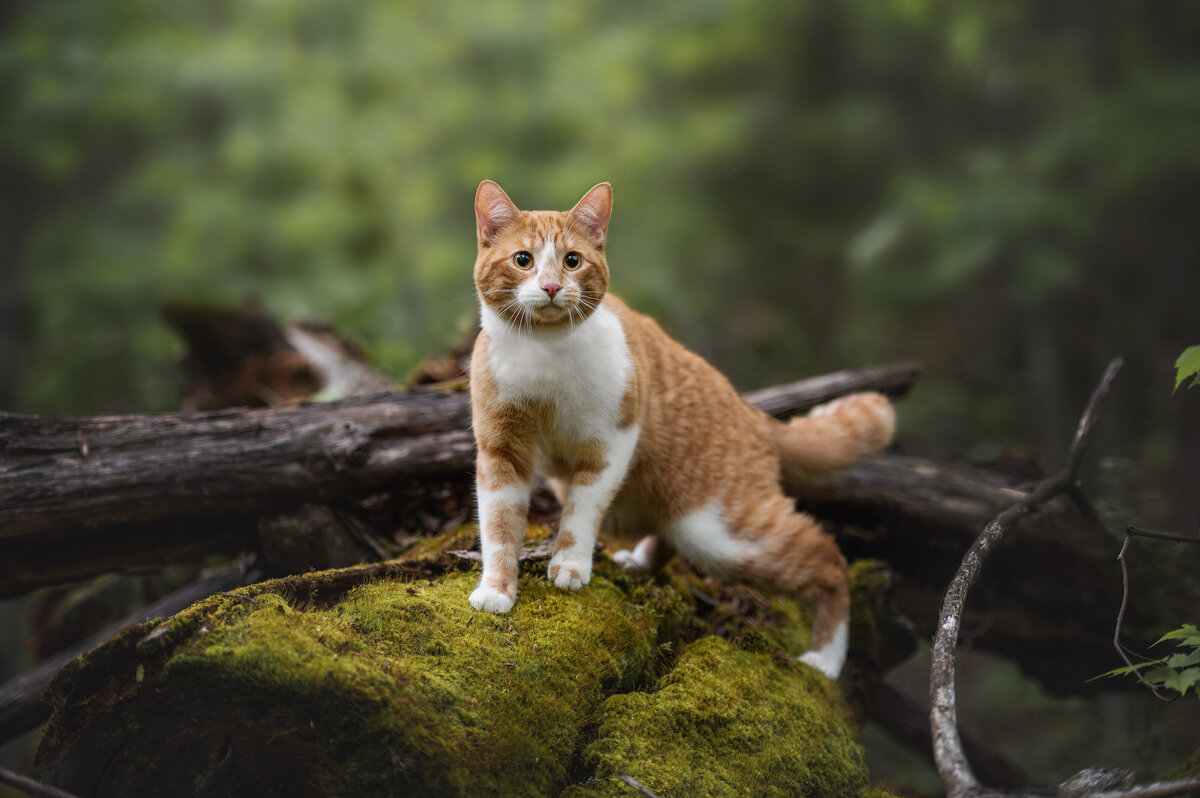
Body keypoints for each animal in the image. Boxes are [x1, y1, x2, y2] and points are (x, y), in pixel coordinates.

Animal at [465, 182, 892, 676]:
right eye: (523, 260)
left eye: (572, 261)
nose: (552, 286)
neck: (544, 356)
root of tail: (755, 415)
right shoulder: (501, 449)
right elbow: (498, 525)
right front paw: (497, 590)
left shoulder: (612, 441)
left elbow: (581, 512)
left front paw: (569, 565)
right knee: (669, 535)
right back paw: (638, 562)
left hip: (718, 531)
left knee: (828, 559)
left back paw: (826, 657)